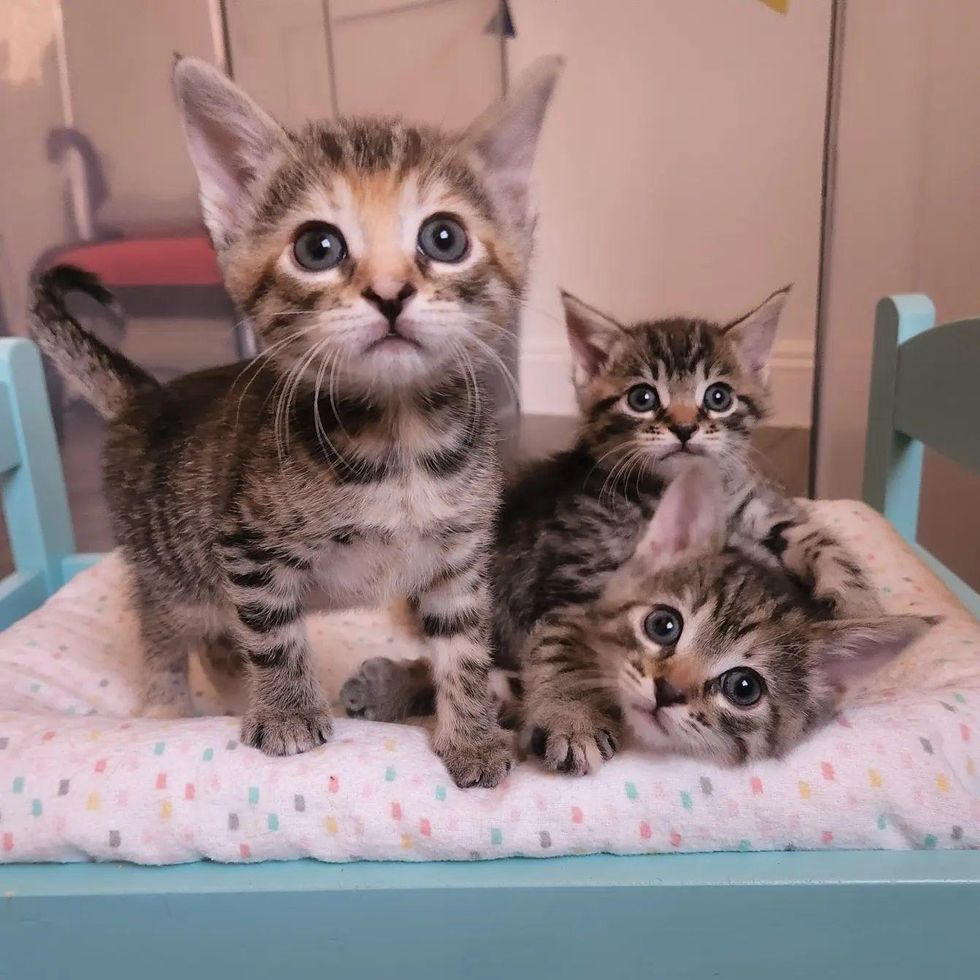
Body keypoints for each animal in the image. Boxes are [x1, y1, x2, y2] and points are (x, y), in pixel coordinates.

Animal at [30, 51, 564, 788]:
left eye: (445, 238)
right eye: (318, 247)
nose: (390, 292)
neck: (399, 442)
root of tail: (146, 397)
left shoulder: (460, 561)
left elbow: (464, 652)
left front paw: (474, 736)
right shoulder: (246, 548)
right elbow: (274, 635)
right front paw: (285, 713)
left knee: (220, 645)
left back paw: (232, 700)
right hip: (174, 571)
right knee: (165, 634)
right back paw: (171, 708)